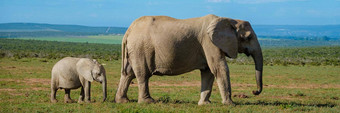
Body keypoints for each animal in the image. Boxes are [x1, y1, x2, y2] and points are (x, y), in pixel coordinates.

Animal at [115, 13, 264, 105]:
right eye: (248, 37)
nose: (254, 92)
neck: (229, 19)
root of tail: (128, 30)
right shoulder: (209, 43)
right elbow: (219, 68)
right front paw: (230, 104)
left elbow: (208, 72)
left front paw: (205, 104)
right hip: (140, 48)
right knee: (142, 74)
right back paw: (148, 101)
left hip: (134, 49)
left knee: (128, 73)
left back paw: (123, 101)